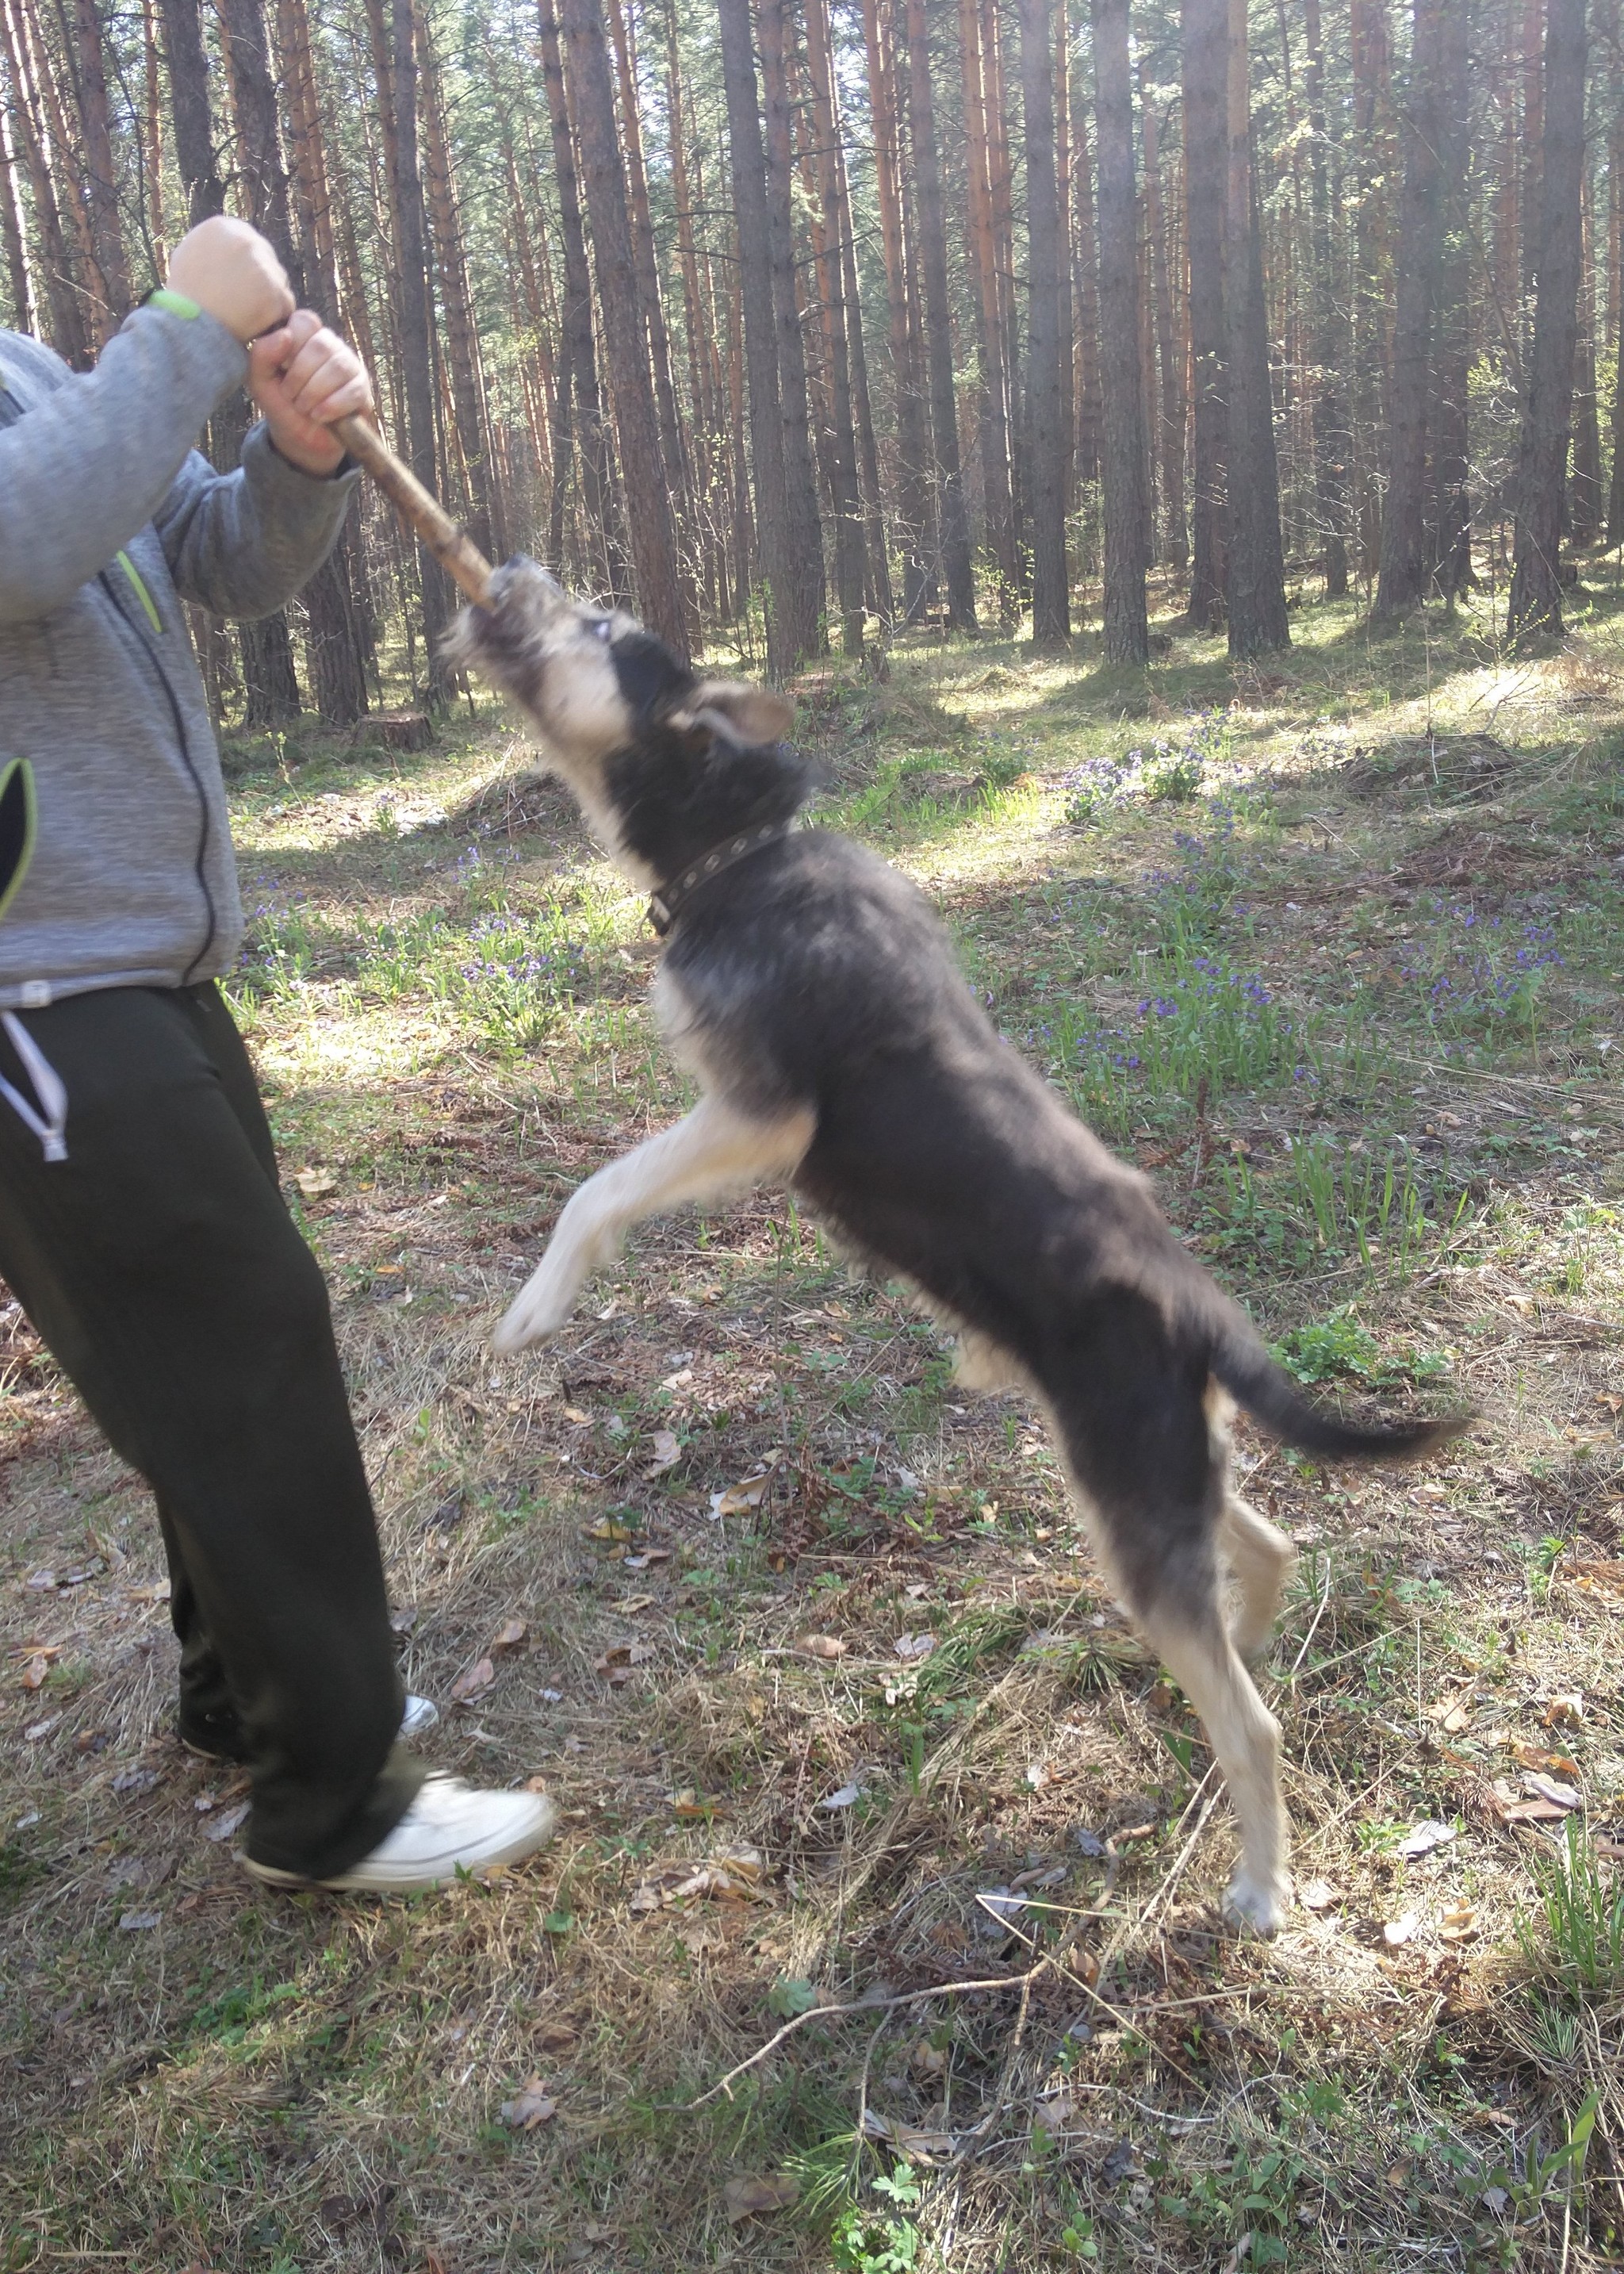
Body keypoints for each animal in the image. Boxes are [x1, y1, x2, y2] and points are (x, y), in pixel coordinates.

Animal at [443, 564, 1455, 1937]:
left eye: (601, 628)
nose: (508, 575)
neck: (740, 849)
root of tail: (1204, 1311)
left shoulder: (760, 1112)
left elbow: (594, 1189)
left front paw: (536, 1309)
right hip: (1153, 1474)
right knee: (1268, 1548)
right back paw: (1242, 1649)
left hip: (1126, 1490)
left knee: (1252, 1724)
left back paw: (1259, 1886)